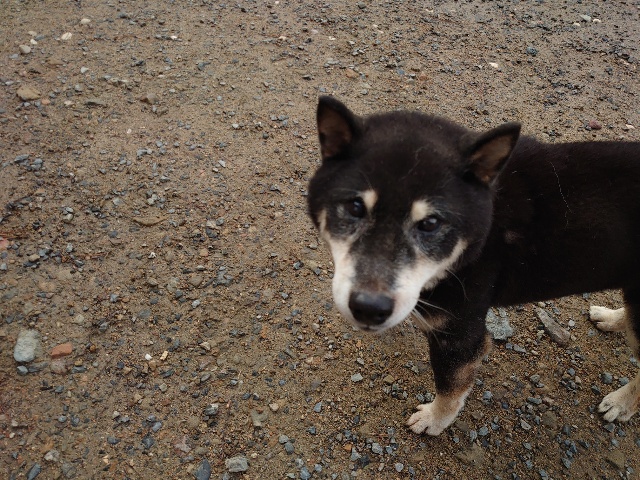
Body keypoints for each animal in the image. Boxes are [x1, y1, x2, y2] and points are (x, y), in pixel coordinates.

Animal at [307, 96, 640, 435]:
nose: (369, 308)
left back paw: (621, 403)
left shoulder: (459, 337)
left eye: (430, 223)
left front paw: (434, 420)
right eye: (355, 207)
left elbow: (449, 388)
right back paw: (613, 318)